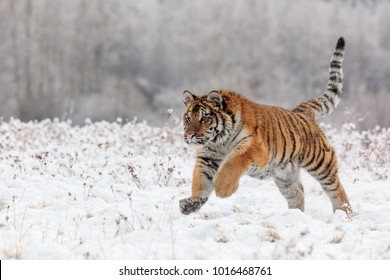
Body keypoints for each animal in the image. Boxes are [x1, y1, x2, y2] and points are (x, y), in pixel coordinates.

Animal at [180, 37, 354, 217]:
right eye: (188, 118)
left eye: (204, 118)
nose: (189, 135)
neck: (218, 140)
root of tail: (302, 112)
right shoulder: (207, 157)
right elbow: (200, 181)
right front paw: (191, 203)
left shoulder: (253, 146)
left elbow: (233, 162)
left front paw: (223, 188)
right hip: (285, 176)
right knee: (297, 192)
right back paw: (295, 215)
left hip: (321, 163)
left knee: (337, 191)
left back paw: (345, 214)